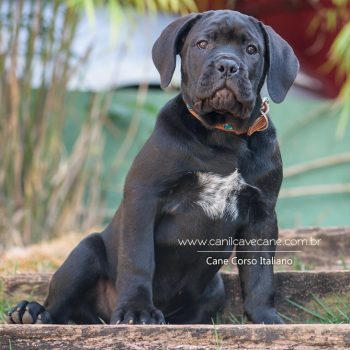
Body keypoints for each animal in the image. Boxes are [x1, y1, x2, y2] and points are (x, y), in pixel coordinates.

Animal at [6, 10, 298, 326]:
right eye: (202, 44)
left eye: (251, 50)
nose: (228, 65)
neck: (223, 133)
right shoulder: (144, 195)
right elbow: (139, 257)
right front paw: (137, 310)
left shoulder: (261, 213)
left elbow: (260, 274)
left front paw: (266, 319)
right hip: (84, 252)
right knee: (59, 305)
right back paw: (32, 312)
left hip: (215, 289)